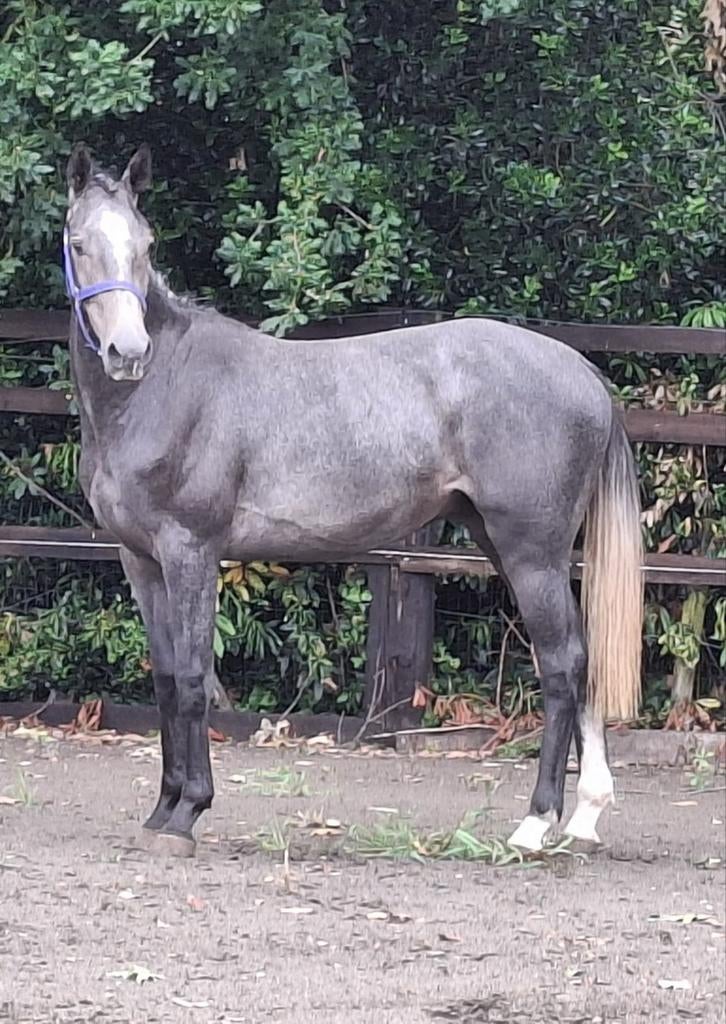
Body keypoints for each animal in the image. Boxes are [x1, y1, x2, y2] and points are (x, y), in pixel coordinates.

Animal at [63, 143, 643, 858]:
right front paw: (163, 809)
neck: (160, 390)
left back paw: (536, 824)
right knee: (581, 661)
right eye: (81, 244)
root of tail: (583, 370)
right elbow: (168, 679)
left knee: (562, 665)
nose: (128, 351)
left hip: (531, 552)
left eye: (144, 245)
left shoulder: (190, 551)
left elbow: (196, 677)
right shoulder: (140, 560)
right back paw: (586, 814)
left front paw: (189, 810)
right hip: (503, 543)